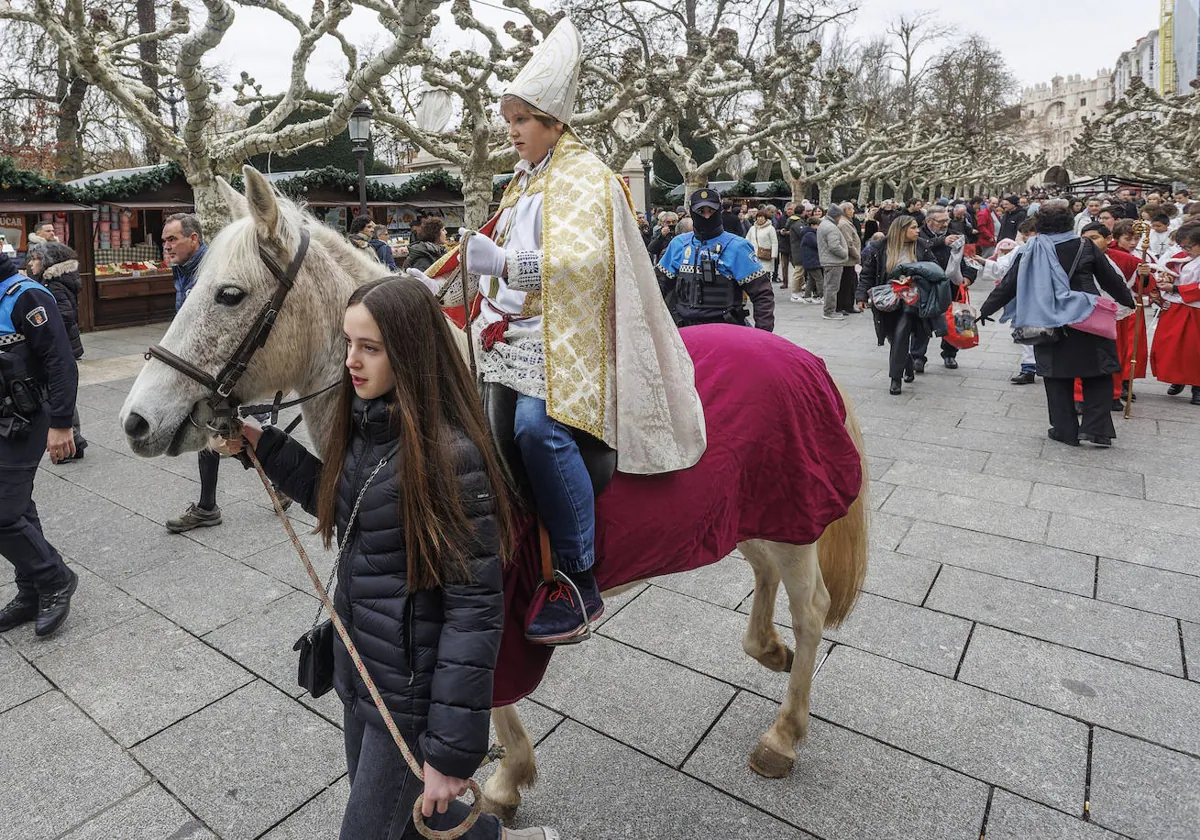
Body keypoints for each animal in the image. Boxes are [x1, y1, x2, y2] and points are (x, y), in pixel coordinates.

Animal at [121, 165, 868, 820]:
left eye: (230, 294)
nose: (137, 421)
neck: (419, 414)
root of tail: (802, 359)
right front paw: (503, 778)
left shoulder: (492, 597)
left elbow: (486, 692)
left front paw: (501, 781)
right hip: (750, 515)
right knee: (765, 573)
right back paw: (766, 651)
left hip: (792, 514)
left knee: (810, 606)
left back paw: (783, 734)